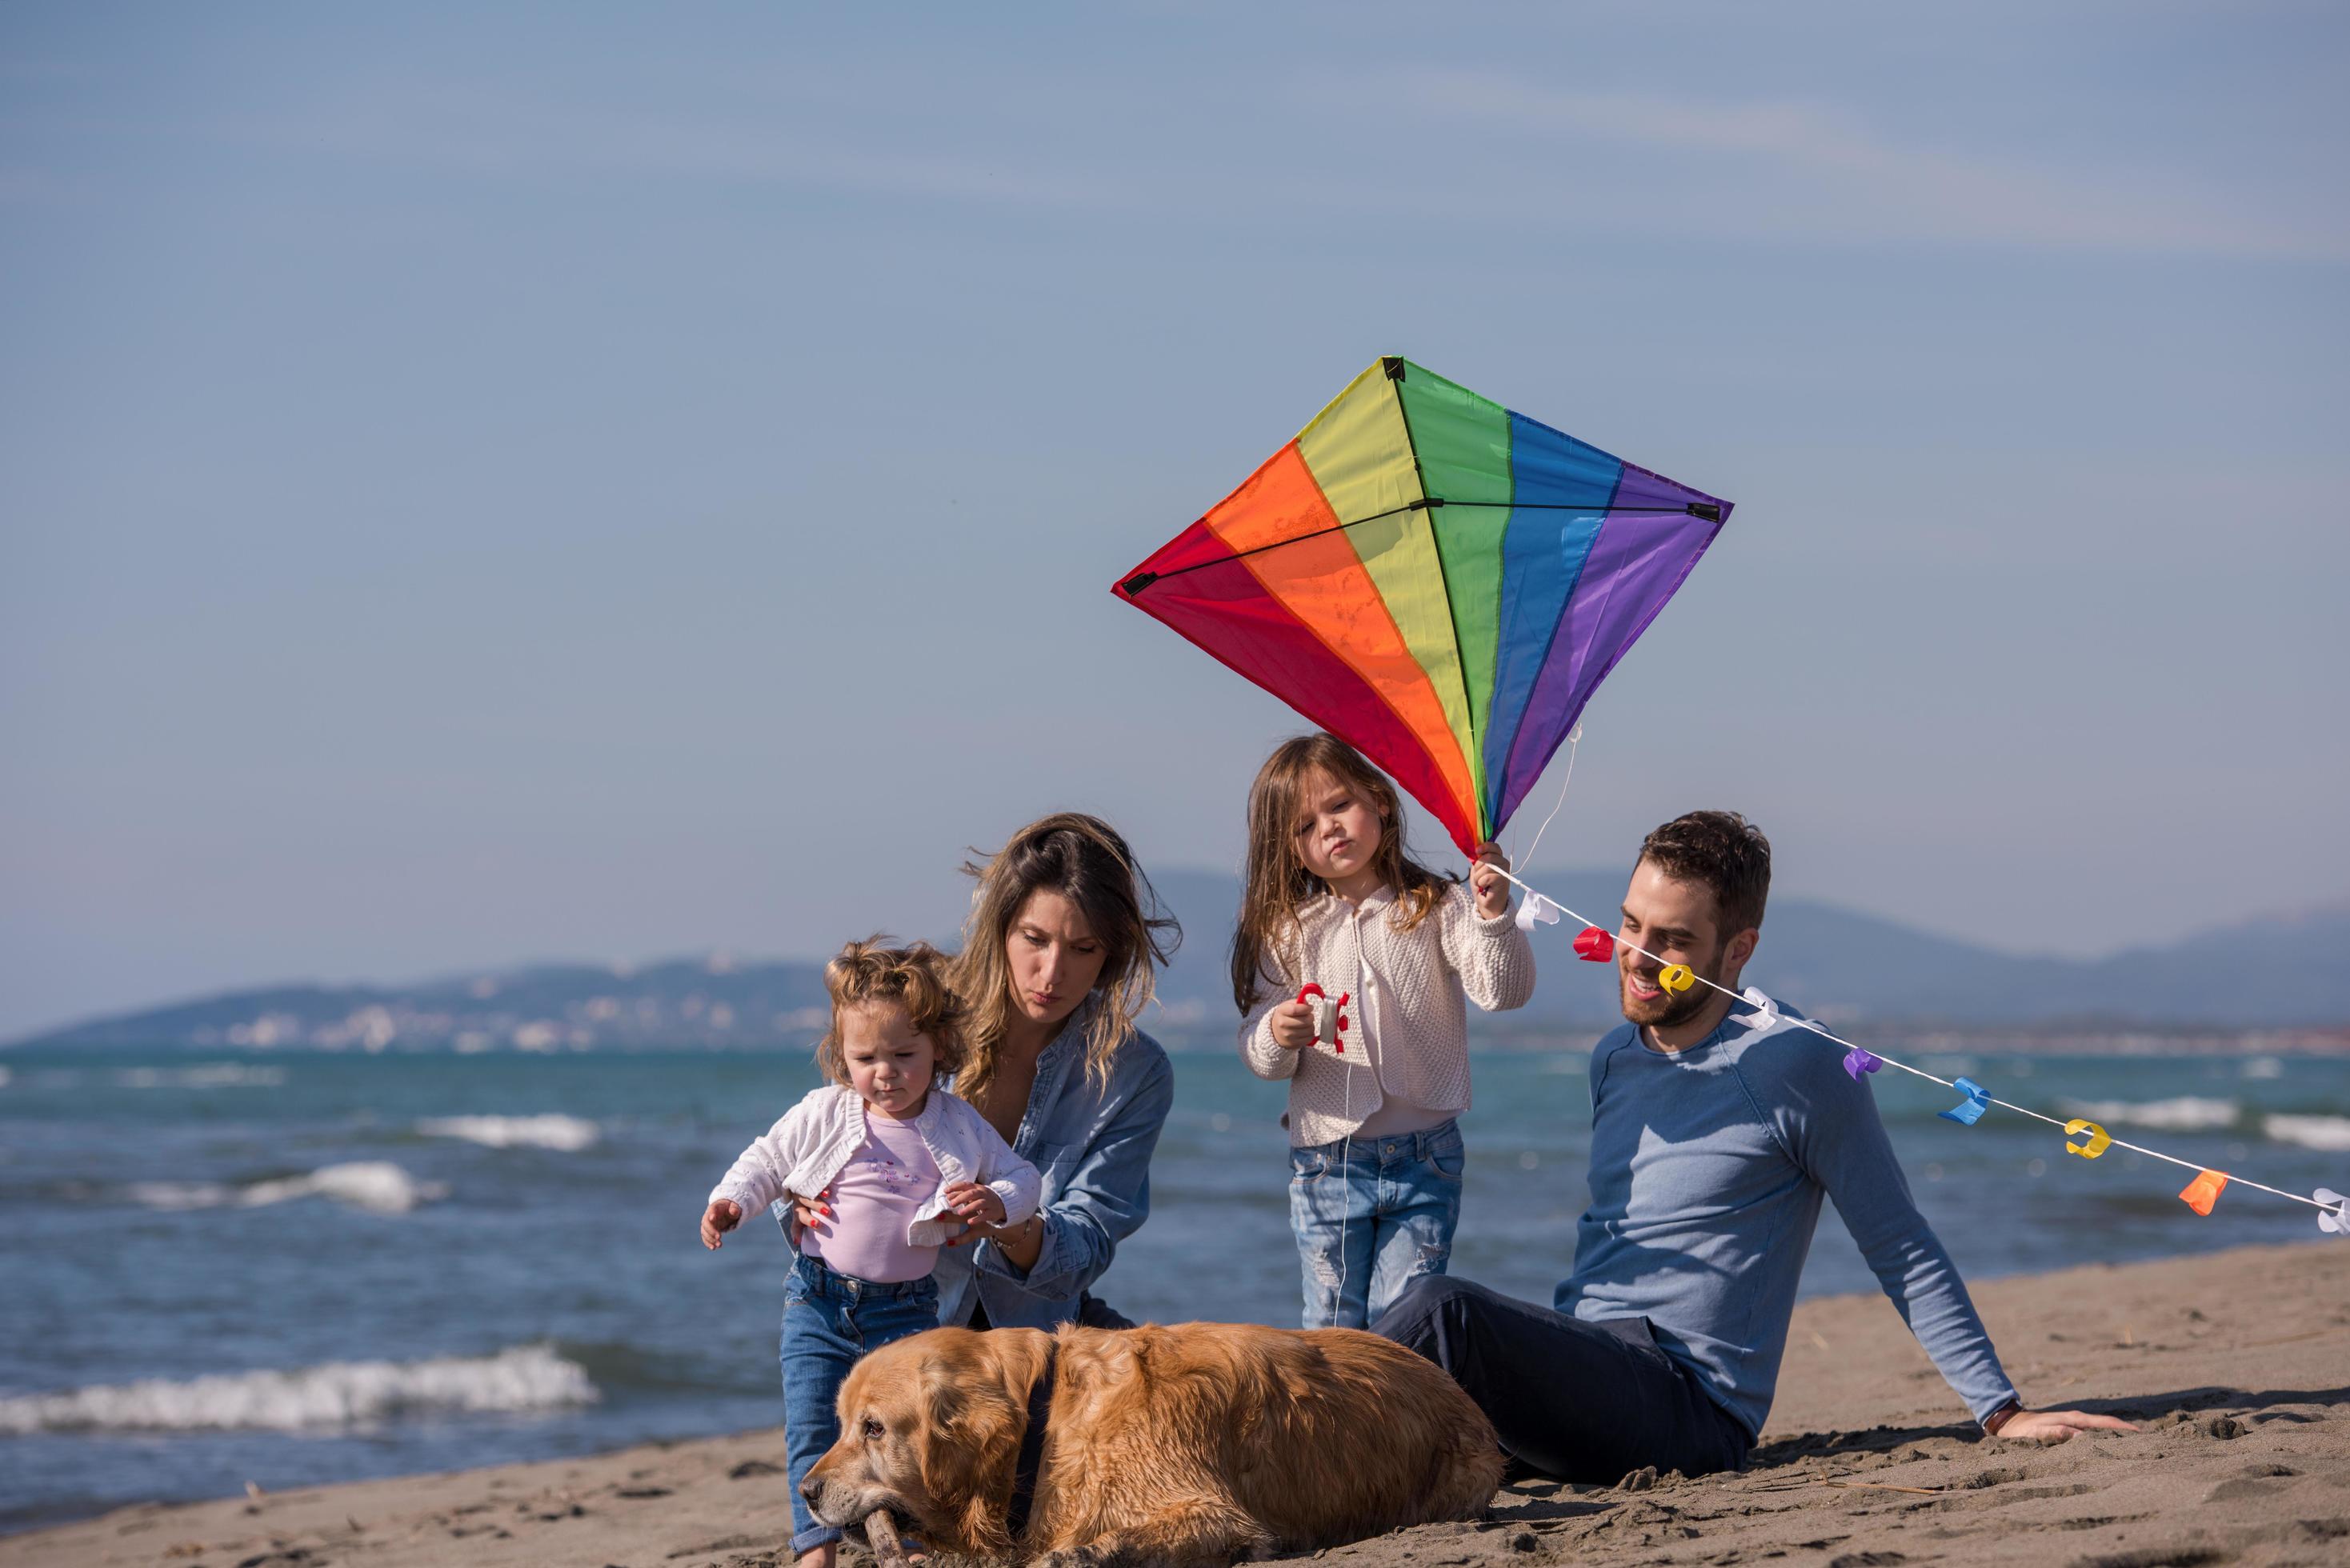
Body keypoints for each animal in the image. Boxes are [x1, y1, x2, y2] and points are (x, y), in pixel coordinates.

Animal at [803, 1326, 1503, 1568]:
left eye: (872, 1428)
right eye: (840, 1423)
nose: (806, 1491)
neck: (1047, 1422)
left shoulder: (1211, 1509)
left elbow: (1126, 1538)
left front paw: (1078, 1554)